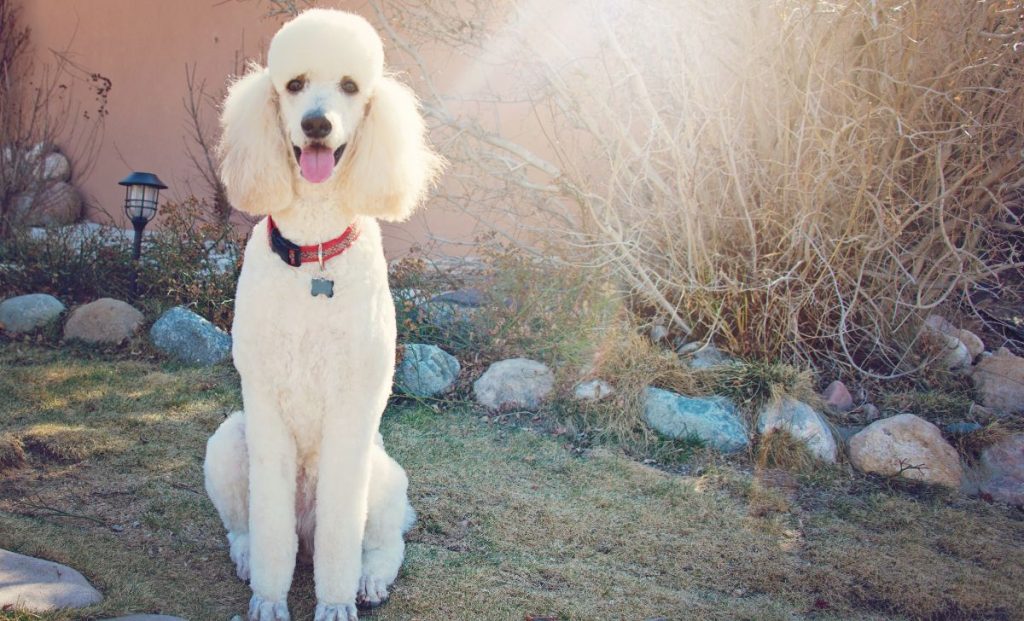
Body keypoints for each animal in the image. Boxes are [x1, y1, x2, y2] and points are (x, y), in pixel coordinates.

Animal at [201, 9, 442, 621]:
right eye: (294, 84)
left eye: (352, 87)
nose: (315, 124)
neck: (314, 251)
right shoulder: (263, 405)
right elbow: (268, 527)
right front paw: (268, 599)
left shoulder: (353, 408)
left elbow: (342, 534)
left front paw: (335, 603)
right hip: (227, 442)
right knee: (247, 529)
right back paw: (247, 557)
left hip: (382, 475)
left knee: (385, 542)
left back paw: (370, 579)